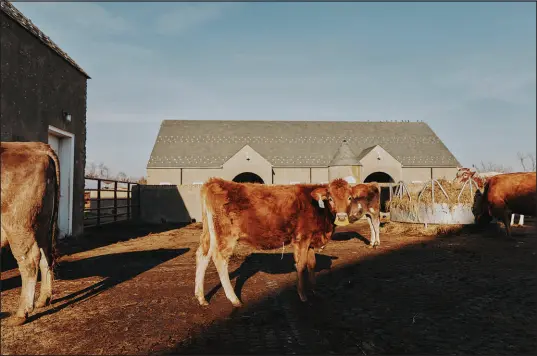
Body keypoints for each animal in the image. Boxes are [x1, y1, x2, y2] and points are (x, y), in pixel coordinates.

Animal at [0, 141, 59, 326]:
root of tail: (36, 145)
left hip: (18, 225)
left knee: (29, 260)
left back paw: (22, 313)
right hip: (42, 224)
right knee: (46, 255)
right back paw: (43, 299)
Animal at [195, 178, 358, 306]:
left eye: (350, 198)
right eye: (330, 198)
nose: (342, 218)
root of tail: (215, 182)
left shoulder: (311, 240)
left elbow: (312, 264)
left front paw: (314, 290)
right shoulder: (302, 238)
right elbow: (301, 265)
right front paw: (302, 295)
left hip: (210, 233)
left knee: (202, 254)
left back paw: (201, 297)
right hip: (226, 235)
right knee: (219, 259)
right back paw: (234, 299)